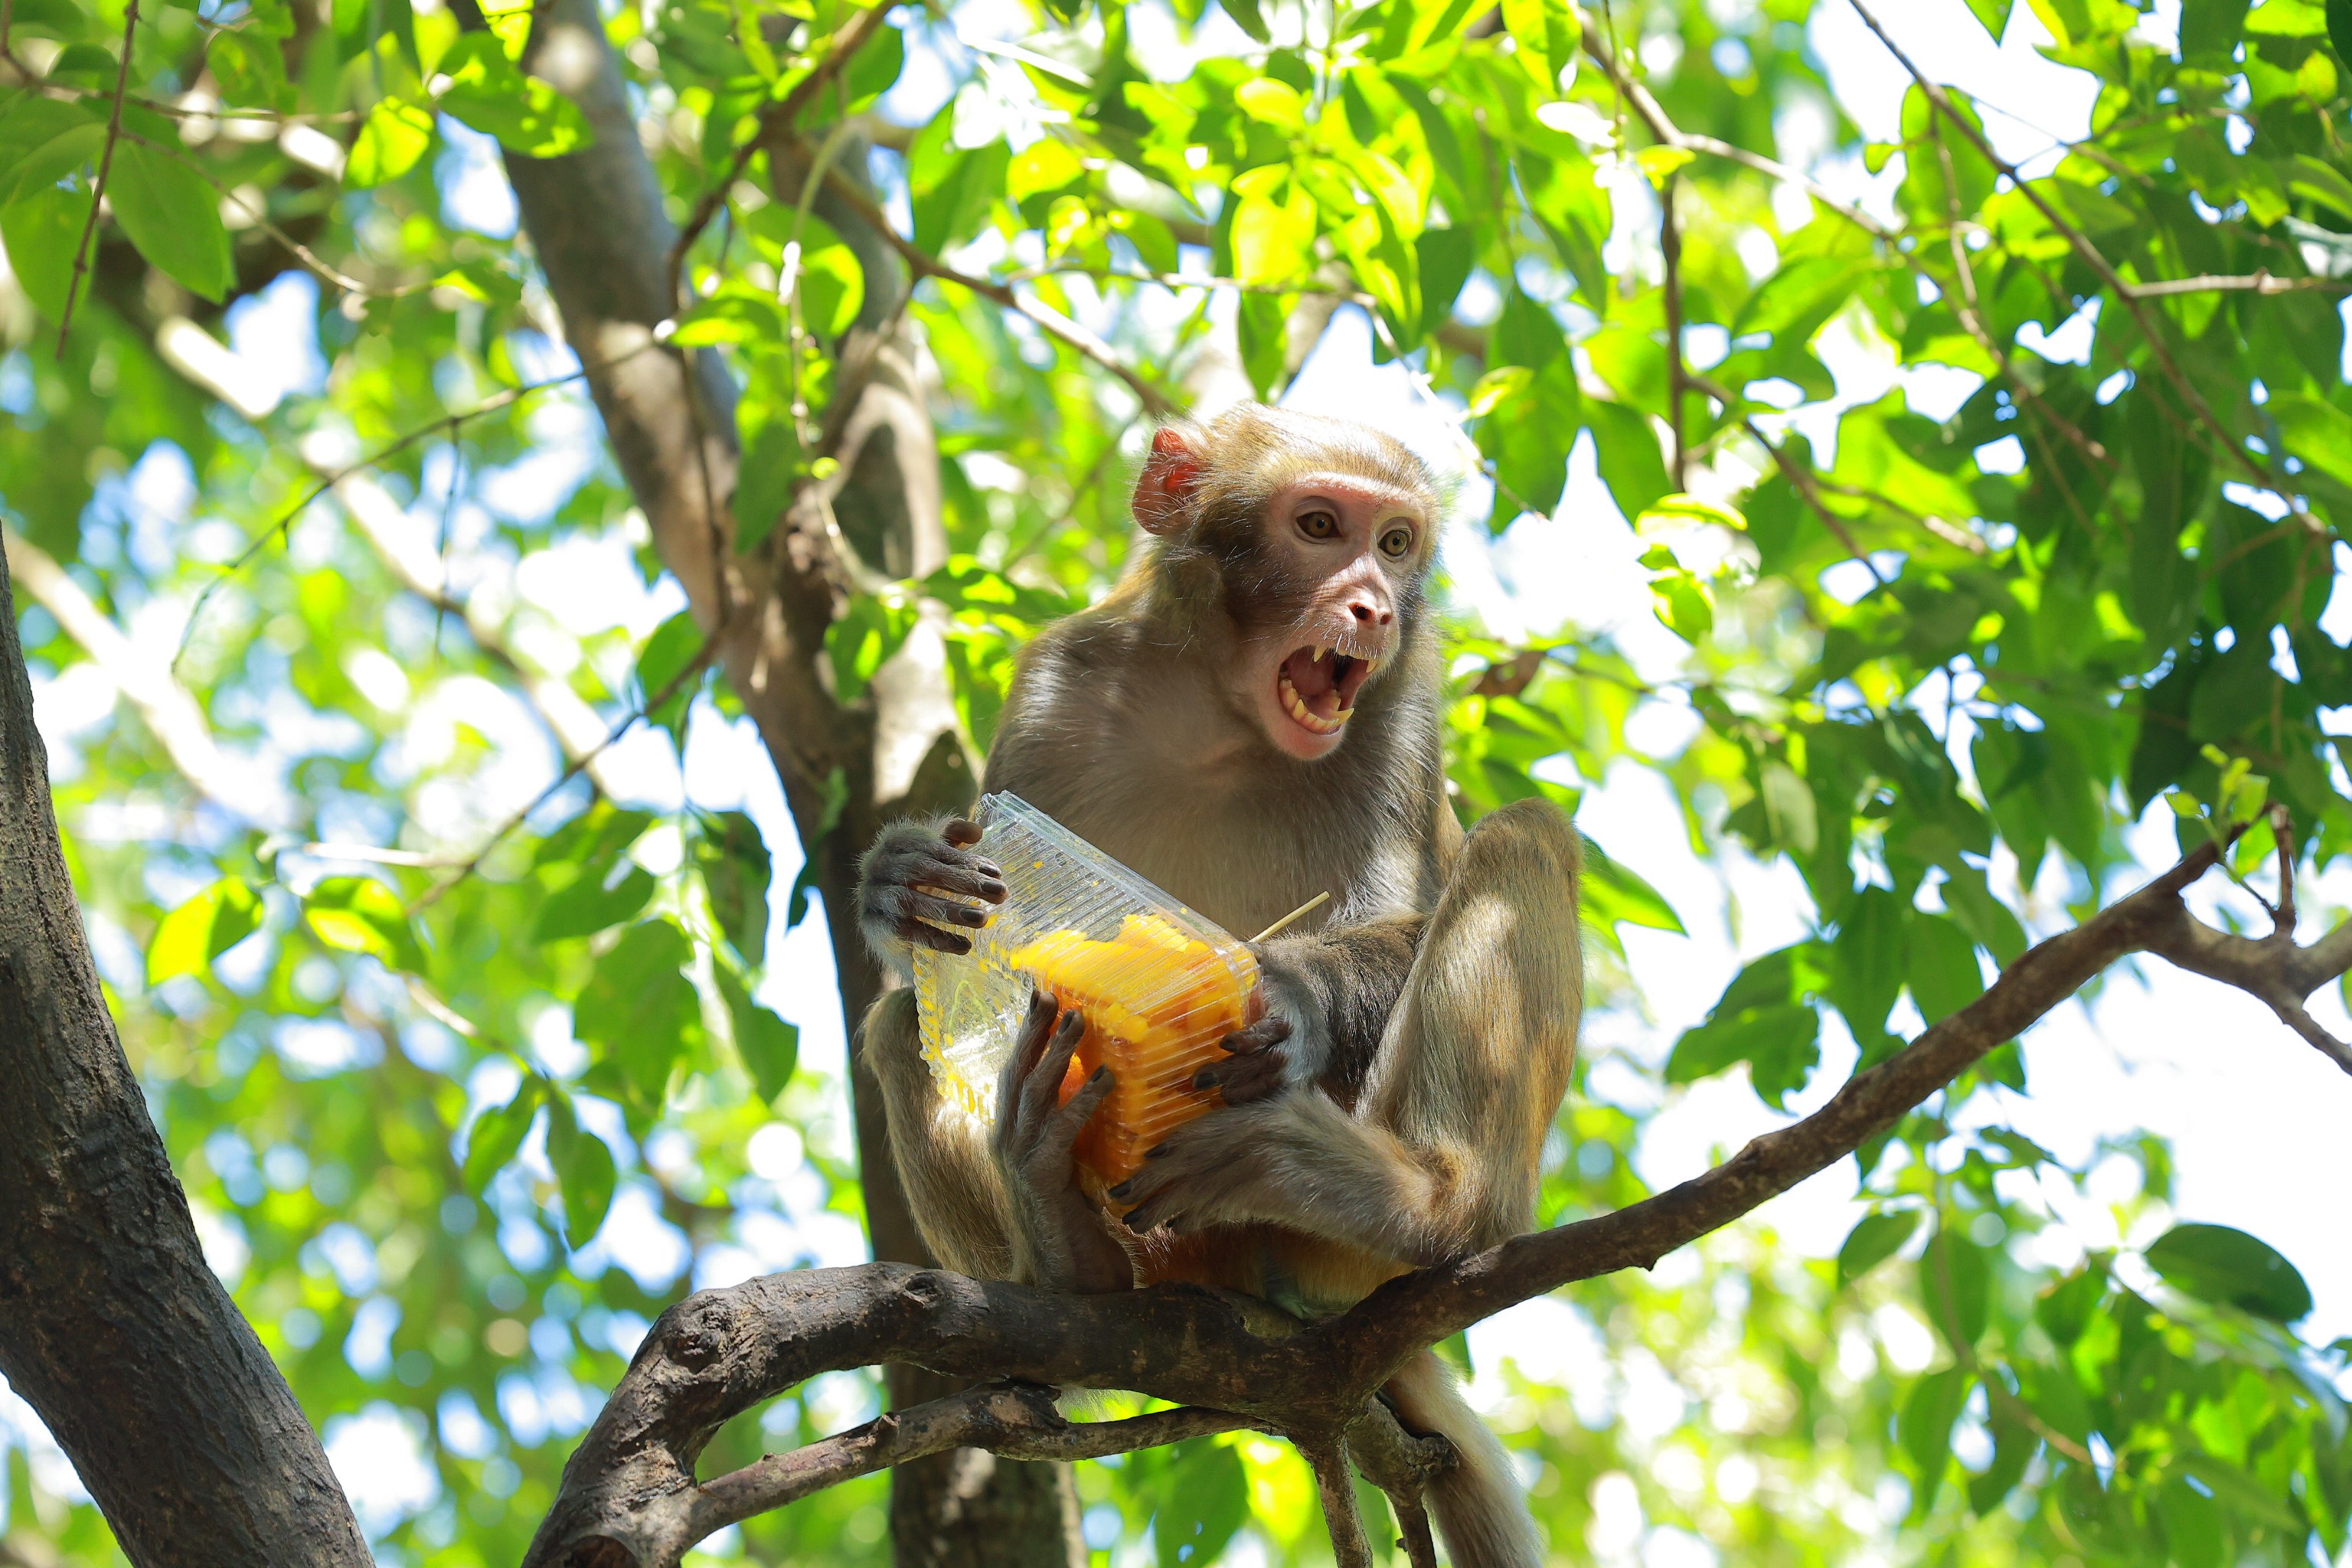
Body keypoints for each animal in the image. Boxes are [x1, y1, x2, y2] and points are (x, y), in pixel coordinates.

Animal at [851, 404, 1580, 1568]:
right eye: (1320, 526)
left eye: (1396, 544)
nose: (1372, 605)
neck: (1222, 716)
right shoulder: (1057, 683)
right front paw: (898, 877)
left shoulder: (1402, 705)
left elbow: (1400, 914)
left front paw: (1287, 990)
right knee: (896, 1023)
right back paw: (1065, 1260)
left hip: (1335, 1252)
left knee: (1526, 835)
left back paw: (1432, 1202)